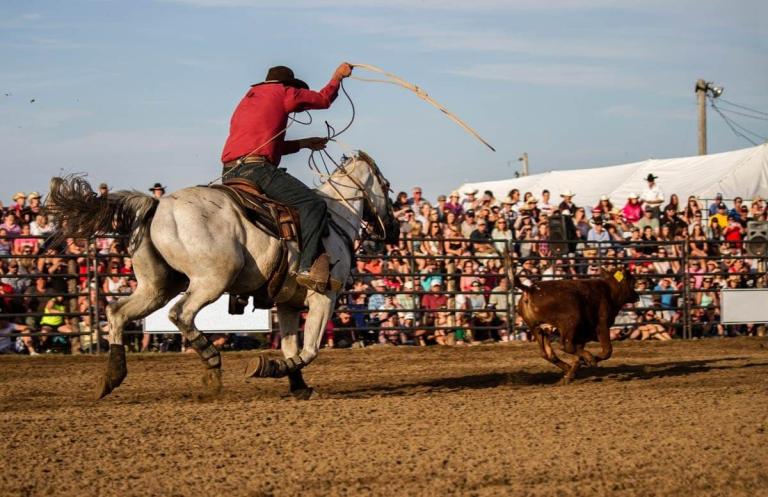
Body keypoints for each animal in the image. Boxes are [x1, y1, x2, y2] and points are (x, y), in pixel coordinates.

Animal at [47, 151, 396, 400]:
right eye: (387, 187)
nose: (391, 228)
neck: (336, 215)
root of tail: (157, 205)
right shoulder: (324, 296)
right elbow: (309, 350)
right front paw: (266, 366)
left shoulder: (288, 303)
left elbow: (291, 347)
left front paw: (297, 385)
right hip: (212, 280)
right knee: (180, 313)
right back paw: (212, 362)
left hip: (157, 286)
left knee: (117, 312)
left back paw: (111, 378)